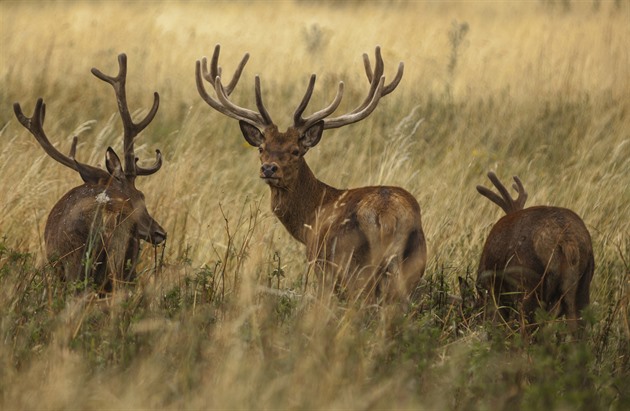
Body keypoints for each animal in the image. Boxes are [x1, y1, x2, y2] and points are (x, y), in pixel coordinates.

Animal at [195, 45, 428, 302]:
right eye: (261, 148)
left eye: (295, 150)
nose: (268, 168)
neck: (311, 217)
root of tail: (387, 216)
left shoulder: (319, 262)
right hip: (414, 263)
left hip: (353, 266)